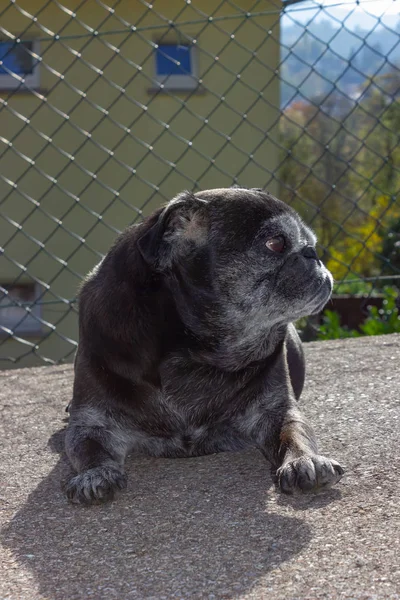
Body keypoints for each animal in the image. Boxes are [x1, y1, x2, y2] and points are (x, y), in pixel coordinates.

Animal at [65, 185, 344, 504]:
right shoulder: (92, 423)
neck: (197, 353)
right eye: (275, 243)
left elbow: (294, 433)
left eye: (310, 244)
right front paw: (94, 475)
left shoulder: (277, 411)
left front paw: (304, 461)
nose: (312, 253)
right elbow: (90, 449)